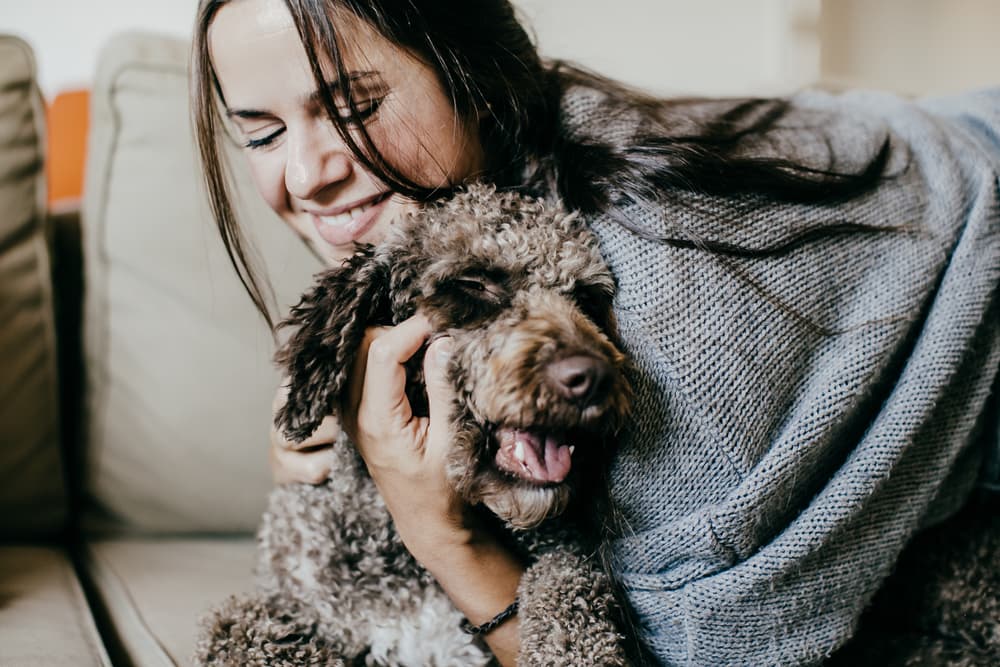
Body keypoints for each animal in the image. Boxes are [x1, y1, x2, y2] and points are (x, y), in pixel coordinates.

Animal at [195, 184, 632, 667]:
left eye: (587, 299)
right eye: (472, 283)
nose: (595, 377)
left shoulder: (565, 555)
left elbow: (568, 589)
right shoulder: (263, 613)